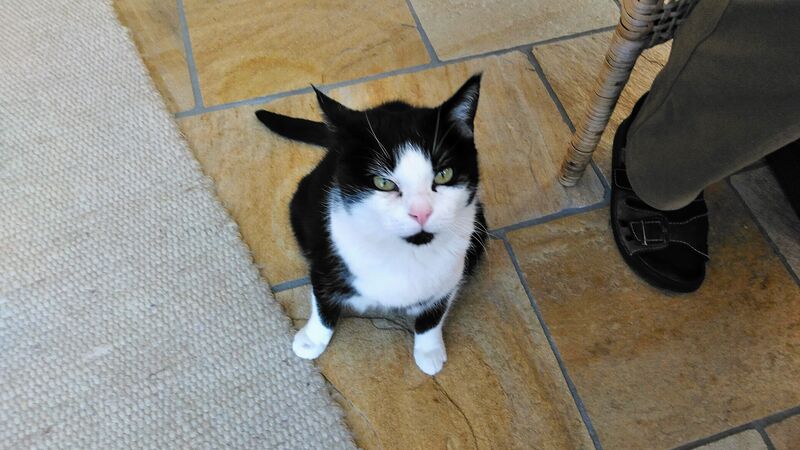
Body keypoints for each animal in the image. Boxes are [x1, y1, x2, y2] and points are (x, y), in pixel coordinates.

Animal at [255, 75, 487, 375]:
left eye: (444, 174)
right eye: (383, 182)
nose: (421, 213)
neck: (405, 254)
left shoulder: (453, 270)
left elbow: (435, 311)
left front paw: (429, 350)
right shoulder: (327, 252)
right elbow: (322, 297)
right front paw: (312, 340)